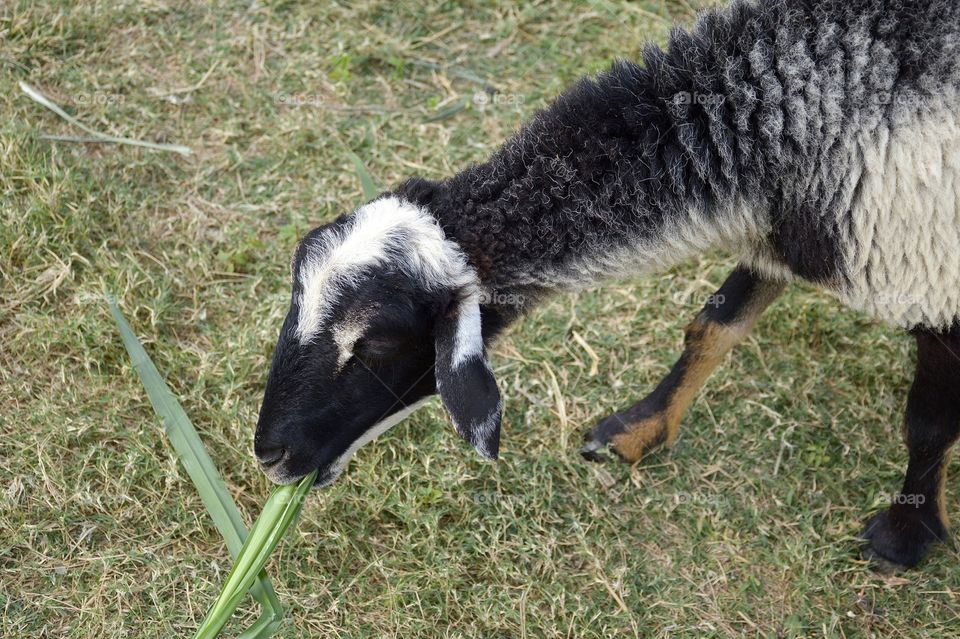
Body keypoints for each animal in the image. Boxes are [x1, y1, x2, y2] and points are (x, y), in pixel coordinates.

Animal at [255, 0, 960, 570]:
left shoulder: (932, 277)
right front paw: (637, 429)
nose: (270, 455)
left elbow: (927, 422)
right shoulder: (781, 233)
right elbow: (712, 326)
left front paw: (904, 536)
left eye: (375, 346)